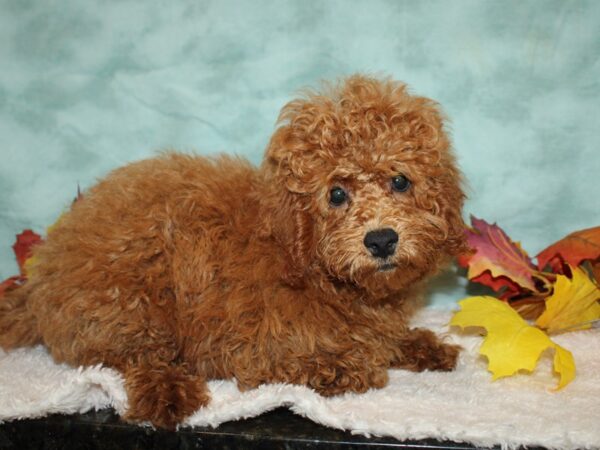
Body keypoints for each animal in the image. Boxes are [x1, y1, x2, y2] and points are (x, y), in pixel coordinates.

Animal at [0, 76, 466, 428]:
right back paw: (166, 391)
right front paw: (351, 362)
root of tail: (43, 270)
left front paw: (417, 344)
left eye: (400, 181)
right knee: (128, 357)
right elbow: (326, 361)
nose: (381, 239)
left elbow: (382, 338)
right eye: (336, 194)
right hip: (131, 300)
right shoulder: (243, 342)